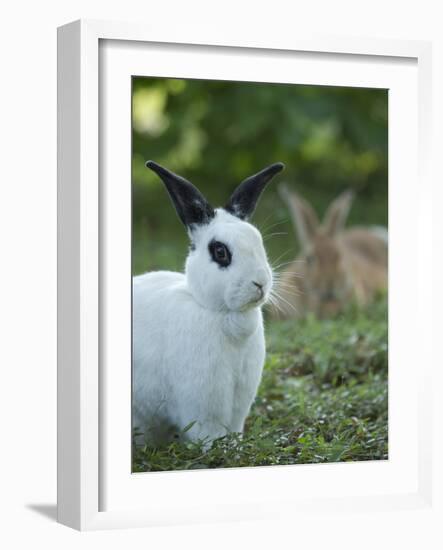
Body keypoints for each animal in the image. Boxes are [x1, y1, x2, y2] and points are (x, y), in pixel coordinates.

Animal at [133, 160, 284, 448]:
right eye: (220, 251)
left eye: (258, 242)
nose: (260, 283)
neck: (222, 314)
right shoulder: (203, 401)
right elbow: (208, 432)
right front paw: (219, 450)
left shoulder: (239, 402)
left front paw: (234, 446)